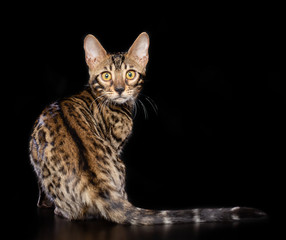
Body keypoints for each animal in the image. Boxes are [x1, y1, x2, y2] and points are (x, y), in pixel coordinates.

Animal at [29, 32, 266, 224]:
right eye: (106, 75)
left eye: (130, 74)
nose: (119, 89)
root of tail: (98, 185)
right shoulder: (117, 144)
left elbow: (40, 192)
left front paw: (43, 204)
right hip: (119, 165)